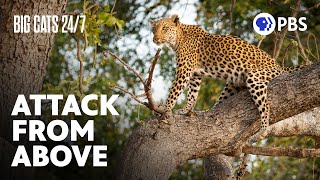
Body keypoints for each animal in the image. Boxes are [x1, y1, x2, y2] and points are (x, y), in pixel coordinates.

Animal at [150, 14, 304, 138]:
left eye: (164, 28)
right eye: (154, 29)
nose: (155, 38)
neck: (177, 39)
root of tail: (279, 67)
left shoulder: (184, 71)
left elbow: (174, 92)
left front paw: (164, 109)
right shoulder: (195, 74)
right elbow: (192, 94)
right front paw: (186, 109)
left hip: (254, 77)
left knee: (265, 104)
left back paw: (263, 129)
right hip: (232, 84)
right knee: (219, 104)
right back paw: (207, 111)